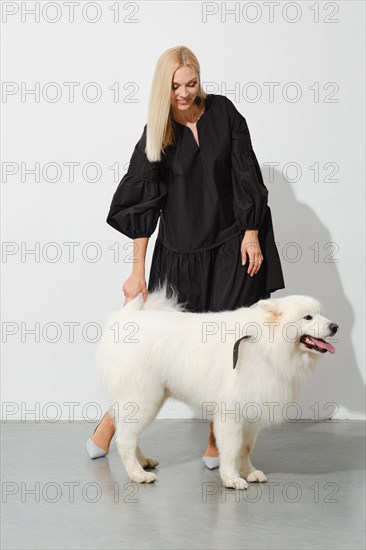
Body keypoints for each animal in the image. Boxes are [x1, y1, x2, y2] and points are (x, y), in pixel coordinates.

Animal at [96, 284, 338, 492]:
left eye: (322, 314)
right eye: (307, 317)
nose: (335, 326)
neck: (264, 345)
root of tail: (126, 318)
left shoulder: (252, 412)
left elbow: (245, 449)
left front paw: (249, 472)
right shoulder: (231, 414)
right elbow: (231, 450)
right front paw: (232, 479)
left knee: (129, 434)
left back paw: (143, 462)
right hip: (142, 398)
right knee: (125, 440)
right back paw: (138, 474)